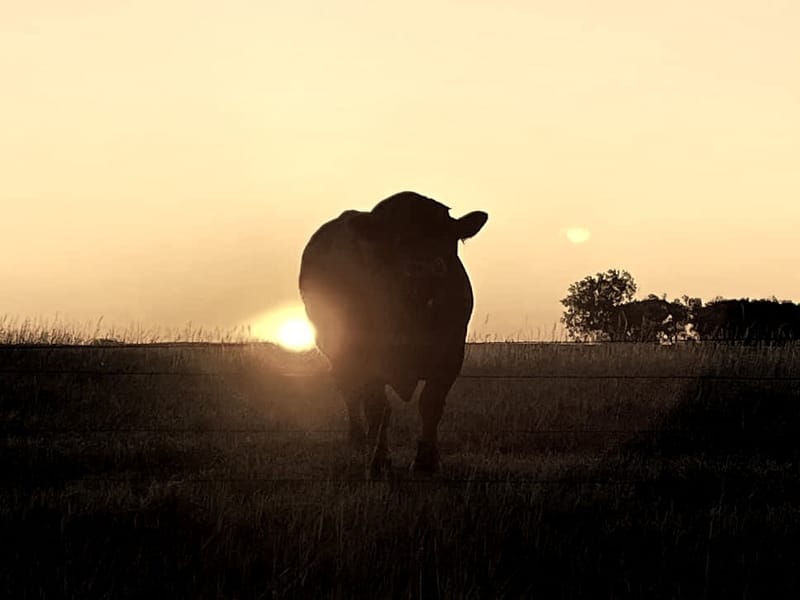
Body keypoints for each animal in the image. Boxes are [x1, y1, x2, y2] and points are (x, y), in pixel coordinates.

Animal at [298, 191, 488, 475]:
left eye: (446, 234)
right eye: (393, 238)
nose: (424, 268)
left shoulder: (451, 353)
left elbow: (430, 404)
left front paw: (426, 461)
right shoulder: (365, 356)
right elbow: (377, 407)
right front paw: (379, 461)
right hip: (335, 349)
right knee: (349, 390)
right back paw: (358, 437)